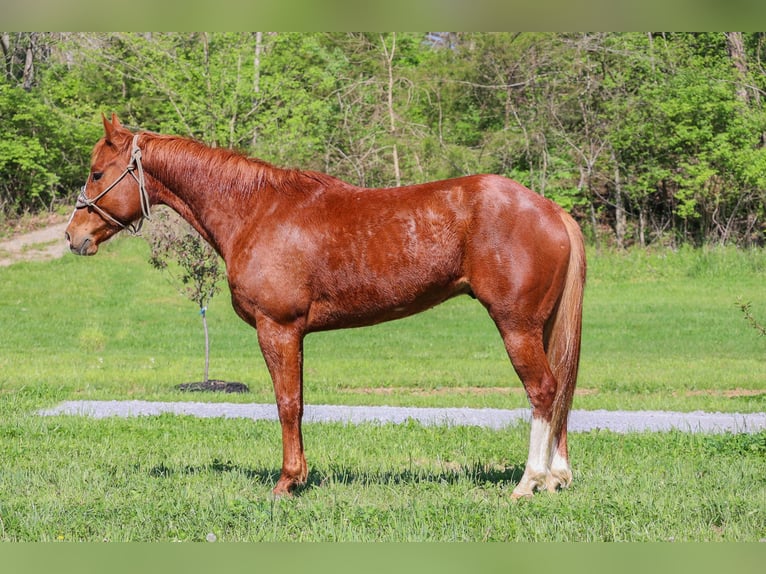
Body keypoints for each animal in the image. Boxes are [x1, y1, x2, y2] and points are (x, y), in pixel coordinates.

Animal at [66, 116, 588, 500]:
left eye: (97, 172)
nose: (73, 236)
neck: (256, 210)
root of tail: (551, 210)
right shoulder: (294, 334)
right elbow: (297, 402)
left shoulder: (277, 329)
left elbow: (287, 404)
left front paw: (287, 482)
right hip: (541, 328)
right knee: (561, 389)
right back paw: (556, 477)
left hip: (516, 326)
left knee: (543, 390)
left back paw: (528, 483)